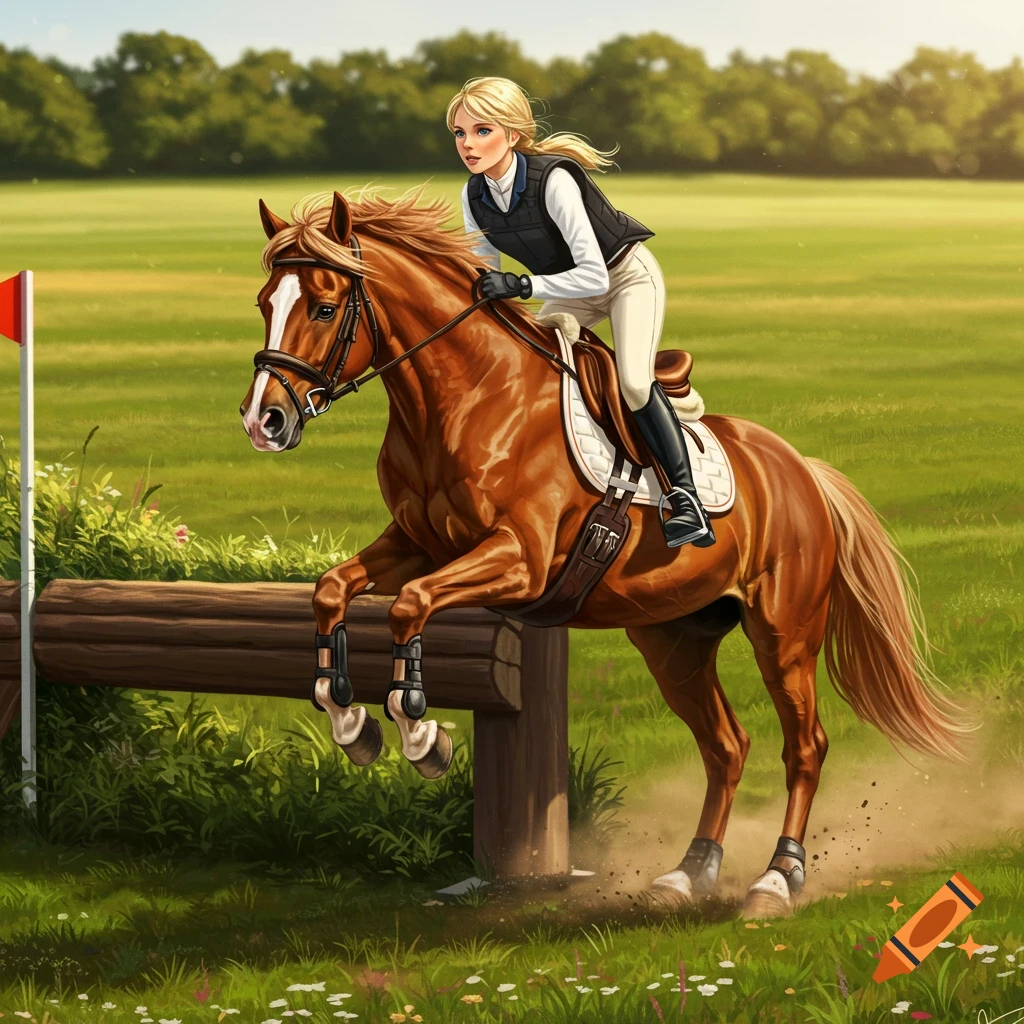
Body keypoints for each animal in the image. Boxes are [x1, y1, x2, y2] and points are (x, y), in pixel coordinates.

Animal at [239, 187, 970, 919]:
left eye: (324, 307)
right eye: (265, 302)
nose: (263, 421)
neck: (465, 398)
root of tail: (801, 470)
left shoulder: (519, 560)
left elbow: (408, 607)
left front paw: (422, 736)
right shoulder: (416, 543)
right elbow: (333, 589)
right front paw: (349, 721)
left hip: (783, 632)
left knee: (804, 744)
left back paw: (776, 878)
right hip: (674, 639)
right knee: (726, 746)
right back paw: (688, 872)